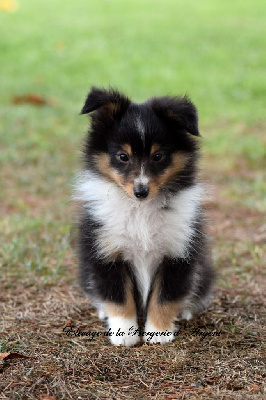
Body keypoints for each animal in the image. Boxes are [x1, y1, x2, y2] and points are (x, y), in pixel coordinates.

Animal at [74, 86, 214, 346]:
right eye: (123, 156)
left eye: (158, 156)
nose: (141, 191)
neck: (140, 210)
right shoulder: (107, 252)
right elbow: (118, 297)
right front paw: (124, 334)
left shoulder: (177, 252)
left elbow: (165, 297)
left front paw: (159, 333)